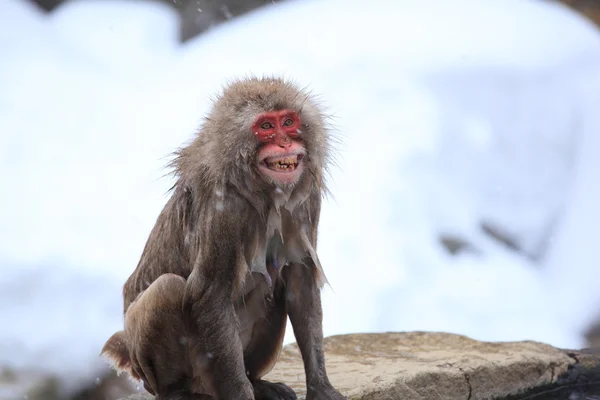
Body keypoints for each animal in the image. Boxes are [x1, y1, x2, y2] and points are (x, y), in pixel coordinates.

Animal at [102, 76, 346, 400]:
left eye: (288, 121)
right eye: (266, 126)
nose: (285, 142)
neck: (262, 189)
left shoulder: (307, 199)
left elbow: (299, 279)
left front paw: (321, 387)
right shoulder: (225, 209)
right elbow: (210, 293)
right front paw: (242, 395)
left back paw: (257, 382)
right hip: (179, 372)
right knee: (167, 289)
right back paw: (178, 391)